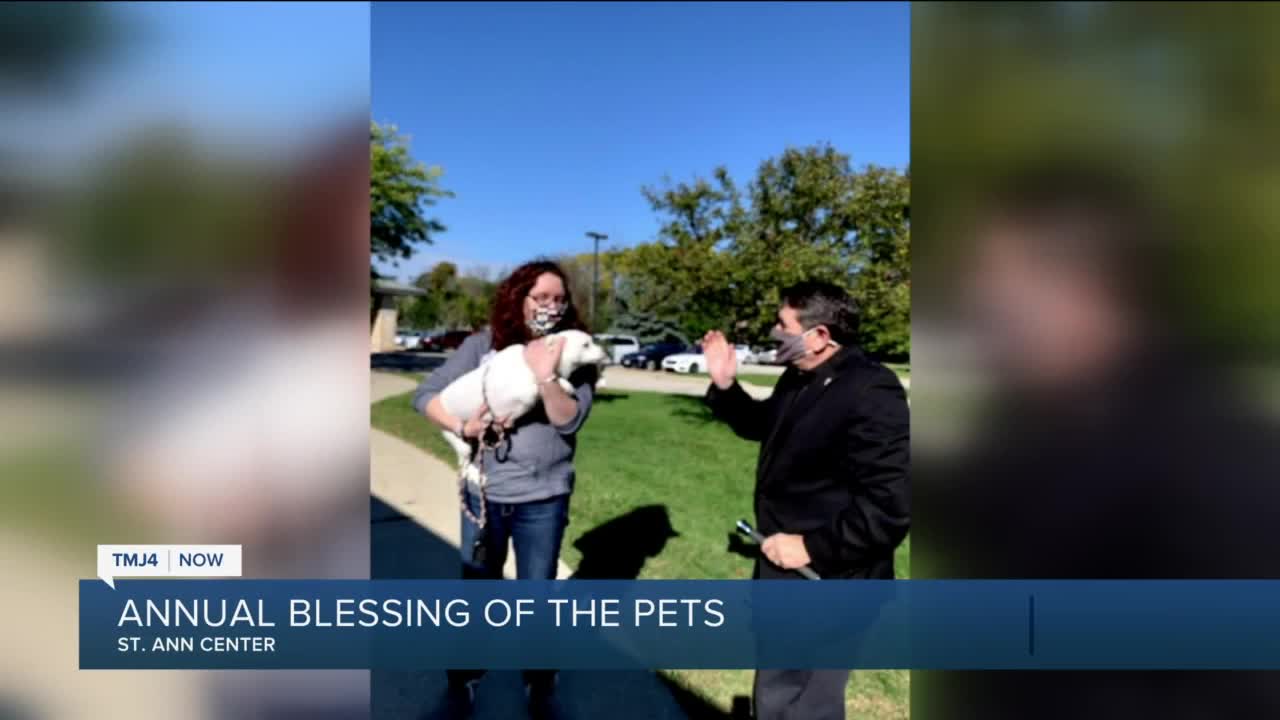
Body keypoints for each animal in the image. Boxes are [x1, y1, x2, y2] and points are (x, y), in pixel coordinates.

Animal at [437, 330, 606, 481]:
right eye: (586, 344)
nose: (605, 353)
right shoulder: (515, 392)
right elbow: (532, 390)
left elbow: (554, 380)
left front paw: (566, 386)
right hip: (454, 437)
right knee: (464, 461)